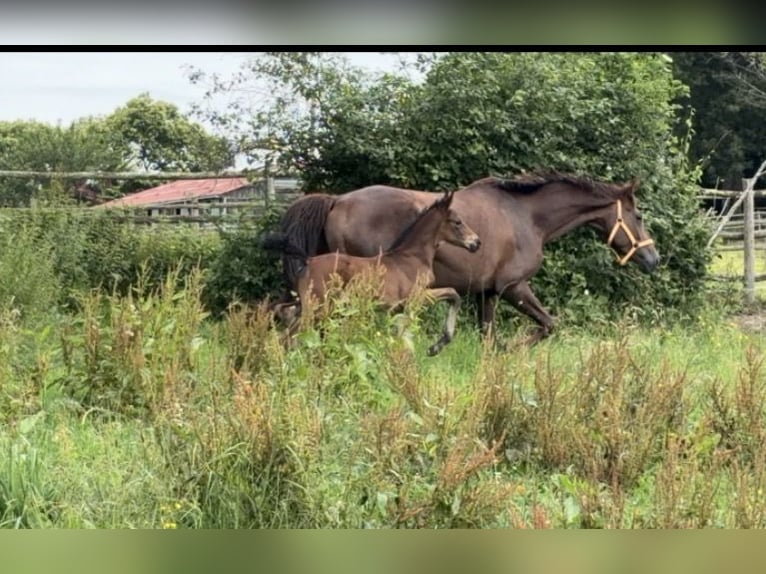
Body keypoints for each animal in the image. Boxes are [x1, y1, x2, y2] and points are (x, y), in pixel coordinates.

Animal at [262, 190, 482, 356]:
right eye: (457, 222)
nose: (476, 242)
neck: (412, 256)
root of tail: (308, 262)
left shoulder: (400, 308)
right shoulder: (415, 298)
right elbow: (454, 294)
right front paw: (436, 346)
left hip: (310, 305)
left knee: (284, 317)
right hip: (317, 308)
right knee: (287, 337)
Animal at [273, 171, 660, 345]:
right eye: (639, 216)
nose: (653, 259)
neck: (527, 216)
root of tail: (337, 200)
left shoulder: (487, 292)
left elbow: (488, 337)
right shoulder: (513, 287)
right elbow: (549, 324)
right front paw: (514, 348)